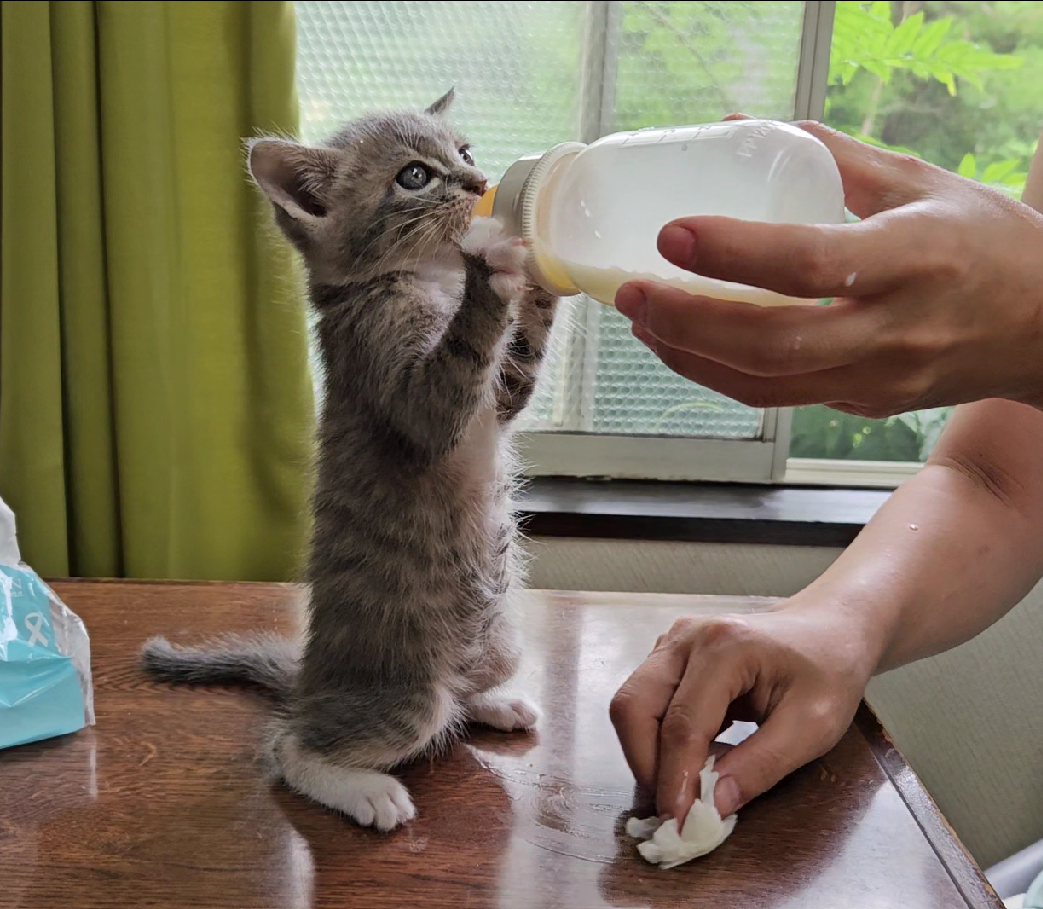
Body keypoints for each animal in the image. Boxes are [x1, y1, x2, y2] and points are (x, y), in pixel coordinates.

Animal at [144, 90, 563, 829]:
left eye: (464, 152)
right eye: (415, 176)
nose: (483, 183)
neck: (423, 281)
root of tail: (309, 681)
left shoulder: (501, 395)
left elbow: (516, 369)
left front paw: (537, 264)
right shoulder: (399, 377)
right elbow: (448, 383)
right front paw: (491, 265)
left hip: (499, 640)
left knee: (463, 690)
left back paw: (491, 699)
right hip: (405, 694)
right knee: (293, 745)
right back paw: (361, 786)